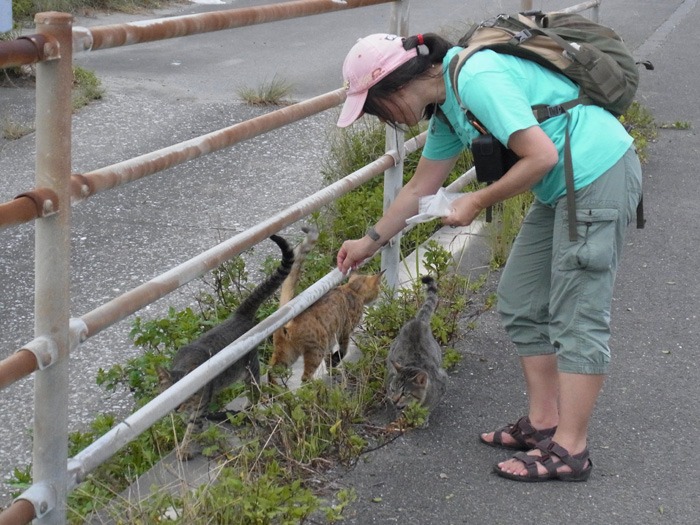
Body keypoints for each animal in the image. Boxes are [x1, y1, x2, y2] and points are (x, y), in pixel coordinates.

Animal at [157, 233, 294, 458]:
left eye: (185, 398)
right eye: (169, 399)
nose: (176, 410)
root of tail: (239, 316)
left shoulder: (199, 408)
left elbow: (192, 429)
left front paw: (185, 449)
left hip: (250, 369)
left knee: (255, 392)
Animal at [268, 225, 382, 384]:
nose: (379, 294)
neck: (352, 290)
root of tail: (290, 320)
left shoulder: (331, 339)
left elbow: (330, 357)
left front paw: (332, 368)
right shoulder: (344, 331)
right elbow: (343, 350)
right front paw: (335, 362)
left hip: (287, 354)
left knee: (271, 371)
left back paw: (274, 389)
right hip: (315, 351)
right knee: (305, 377)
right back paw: (313, 388)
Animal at [382, 274, 448, 426]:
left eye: (405, 394)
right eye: (393, 389)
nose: (393, 400)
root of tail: (418, 321)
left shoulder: (442, 381)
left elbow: (429, 407)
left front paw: (423, 417)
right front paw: (401, 415)